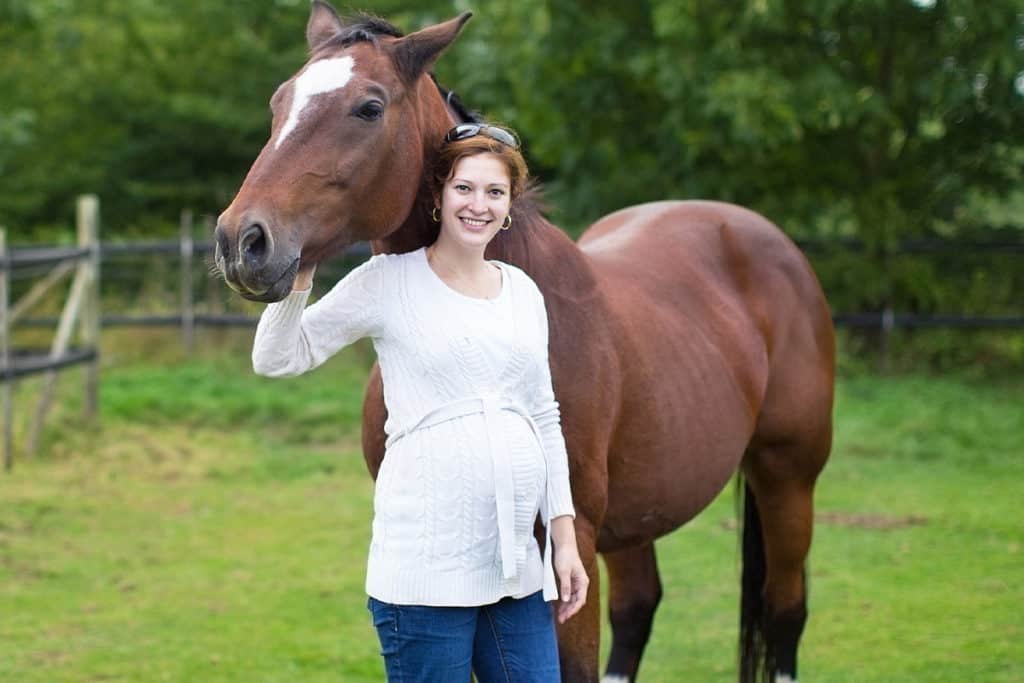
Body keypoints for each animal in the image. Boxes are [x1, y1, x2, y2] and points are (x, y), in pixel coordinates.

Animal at [215, 3, 834, 681]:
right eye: (279, 103)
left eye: (369, 108)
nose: (243, 241)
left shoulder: (571, 545)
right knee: (639, 611)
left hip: (786, 479)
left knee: (785, 611)